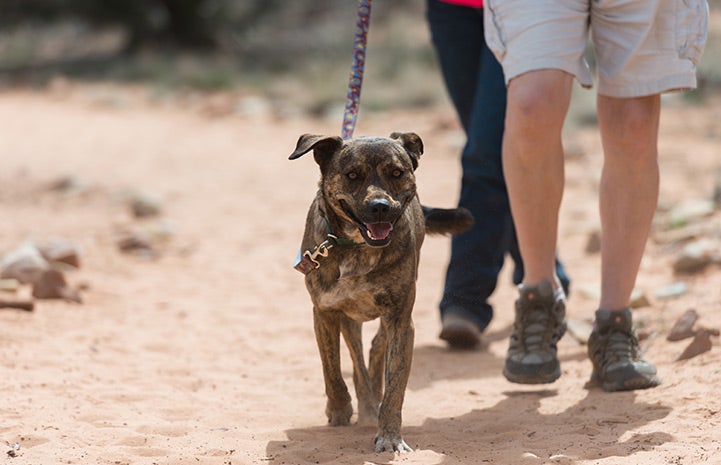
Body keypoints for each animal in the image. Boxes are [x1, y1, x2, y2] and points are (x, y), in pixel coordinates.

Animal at [288, 131, 472, 454]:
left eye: (396, 173)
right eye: (352, 175)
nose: (380, 207)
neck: (356, 246)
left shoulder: (400, 319)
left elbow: (395, 387)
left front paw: (389, 435)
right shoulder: (324, 312)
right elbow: (332, 368)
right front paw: (340, 408)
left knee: (375, 349)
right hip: (349, 319)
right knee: (357, 359)